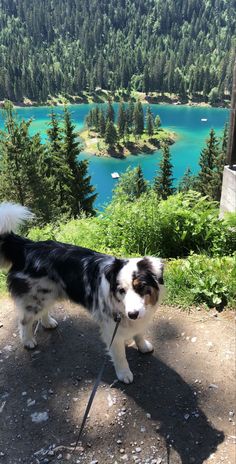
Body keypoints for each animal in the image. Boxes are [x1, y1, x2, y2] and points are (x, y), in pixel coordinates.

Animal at [0, 205, 164, 382]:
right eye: (121, 290)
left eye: (141, 287)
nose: (132, 314)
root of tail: (26, 246)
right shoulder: (111, 327)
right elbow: (120, 355)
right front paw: (124, 373)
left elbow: (139, 333)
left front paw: (143, 345)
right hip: (36, 298)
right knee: (24, 320)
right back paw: (28, 340)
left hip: (48, 293)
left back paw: (48, 322)